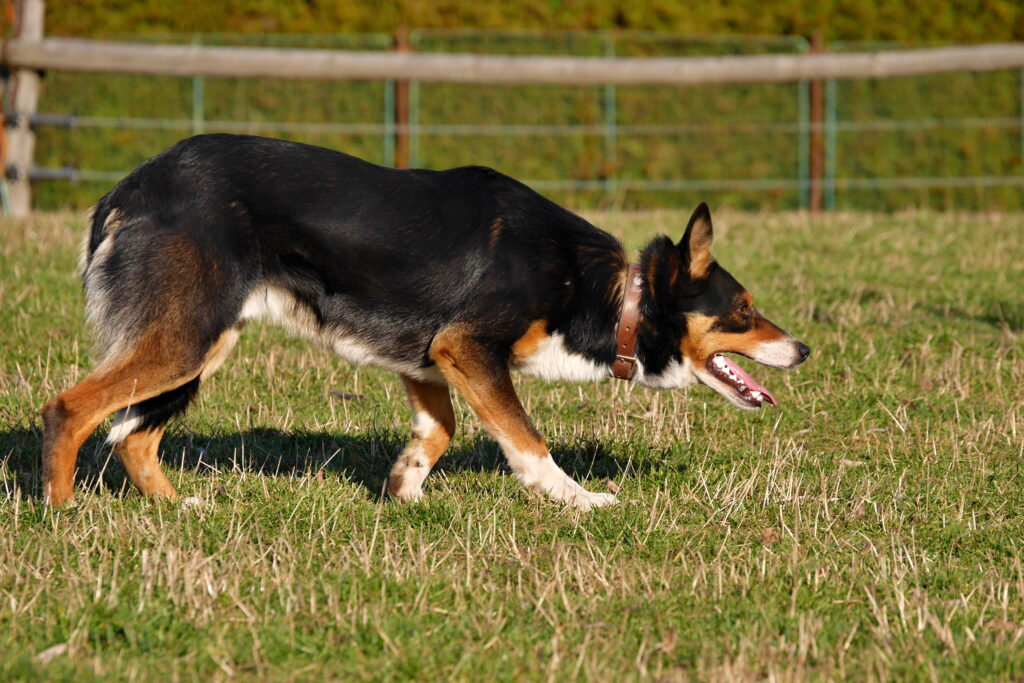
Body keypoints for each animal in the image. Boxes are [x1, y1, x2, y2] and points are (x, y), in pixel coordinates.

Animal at [37, 133, 806, 509]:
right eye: (744, 311)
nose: (801, 349)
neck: (614, 294)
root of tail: (132, 185)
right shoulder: (469, 348)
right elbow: (528, 441)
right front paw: (578, 499)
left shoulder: (430, 357)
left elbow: (441, 431)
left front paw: (404, 488)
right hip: (185, 338)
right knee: (69, 410)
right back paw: (66, 515)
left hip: (200, 344)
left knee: (134, 436)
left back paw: (181, 510)